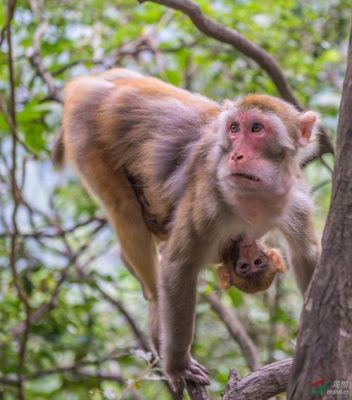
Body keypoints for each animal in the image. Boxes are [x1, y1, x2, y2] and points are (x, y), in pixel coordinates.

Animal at [53, 69, 322, 390]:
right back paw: (157, 307)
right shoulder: (209, 199)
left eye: (257, 128)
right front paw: (179, 365)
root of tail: (84, 85)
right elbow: (179, 266)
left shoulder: (296, 198)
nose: (236, 155)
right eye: (235, 128)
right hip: (85, 132)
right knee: (123, 209)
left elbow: (307, 257)